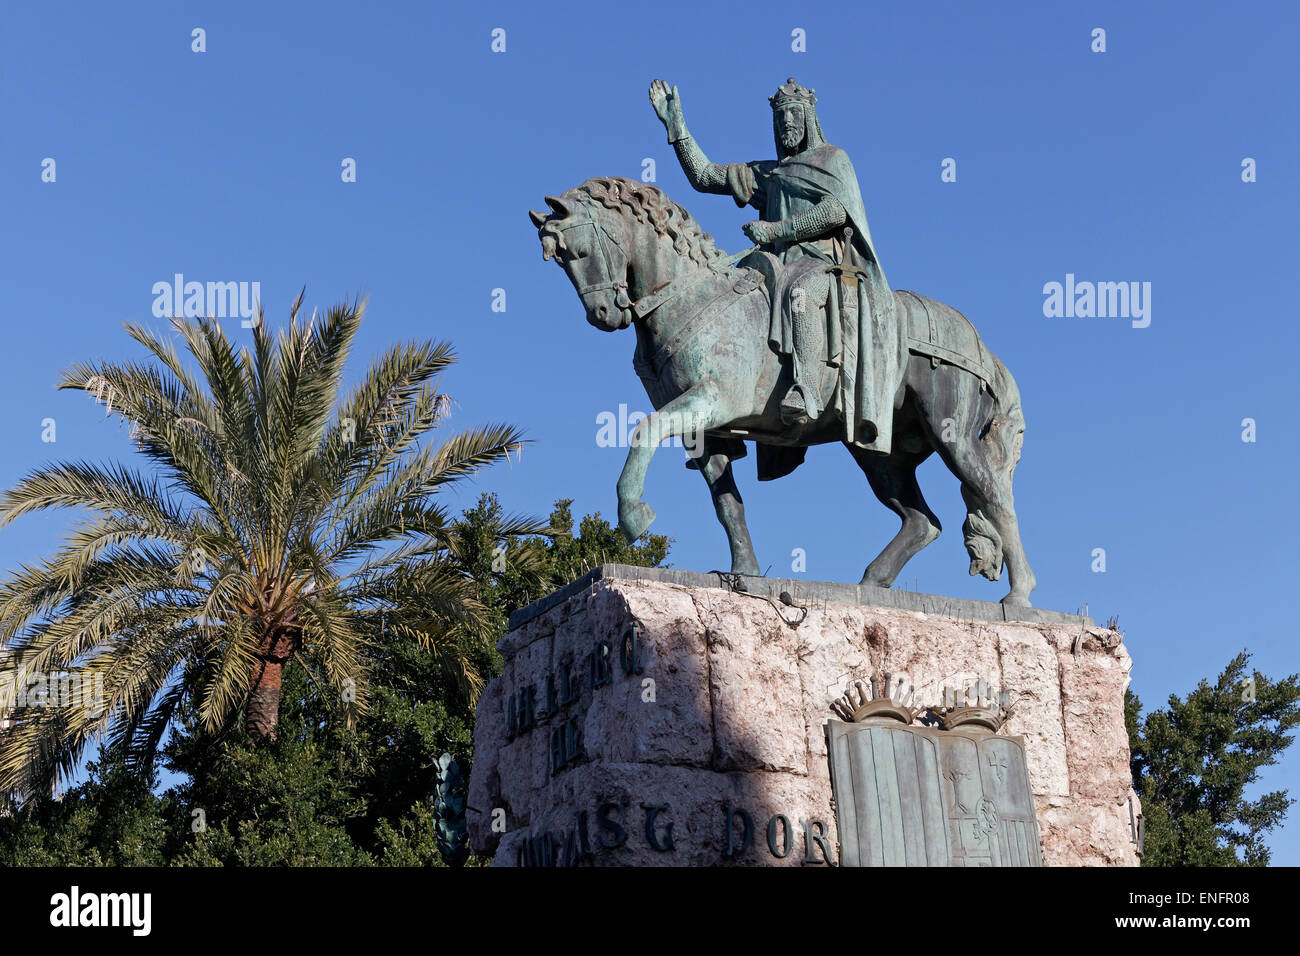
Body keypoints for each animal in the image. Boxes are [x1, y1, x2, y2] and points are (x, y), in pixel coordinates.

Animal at [527, 178, 1034, 606]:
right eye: (559, 259)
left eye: (579, 250)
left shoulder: (713, 400)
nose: (604, 314)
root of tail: (982, 348)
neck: (690, 297)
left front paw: (633, 514)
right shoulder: (707, 431)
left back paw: (1019, 597)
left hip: (951, 435)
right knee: (923, 521)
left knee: (995, 497)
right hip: (876, 451)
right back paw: (870, 583)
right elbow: (727, 505)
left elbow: (644, 430)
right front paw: (745, 571)